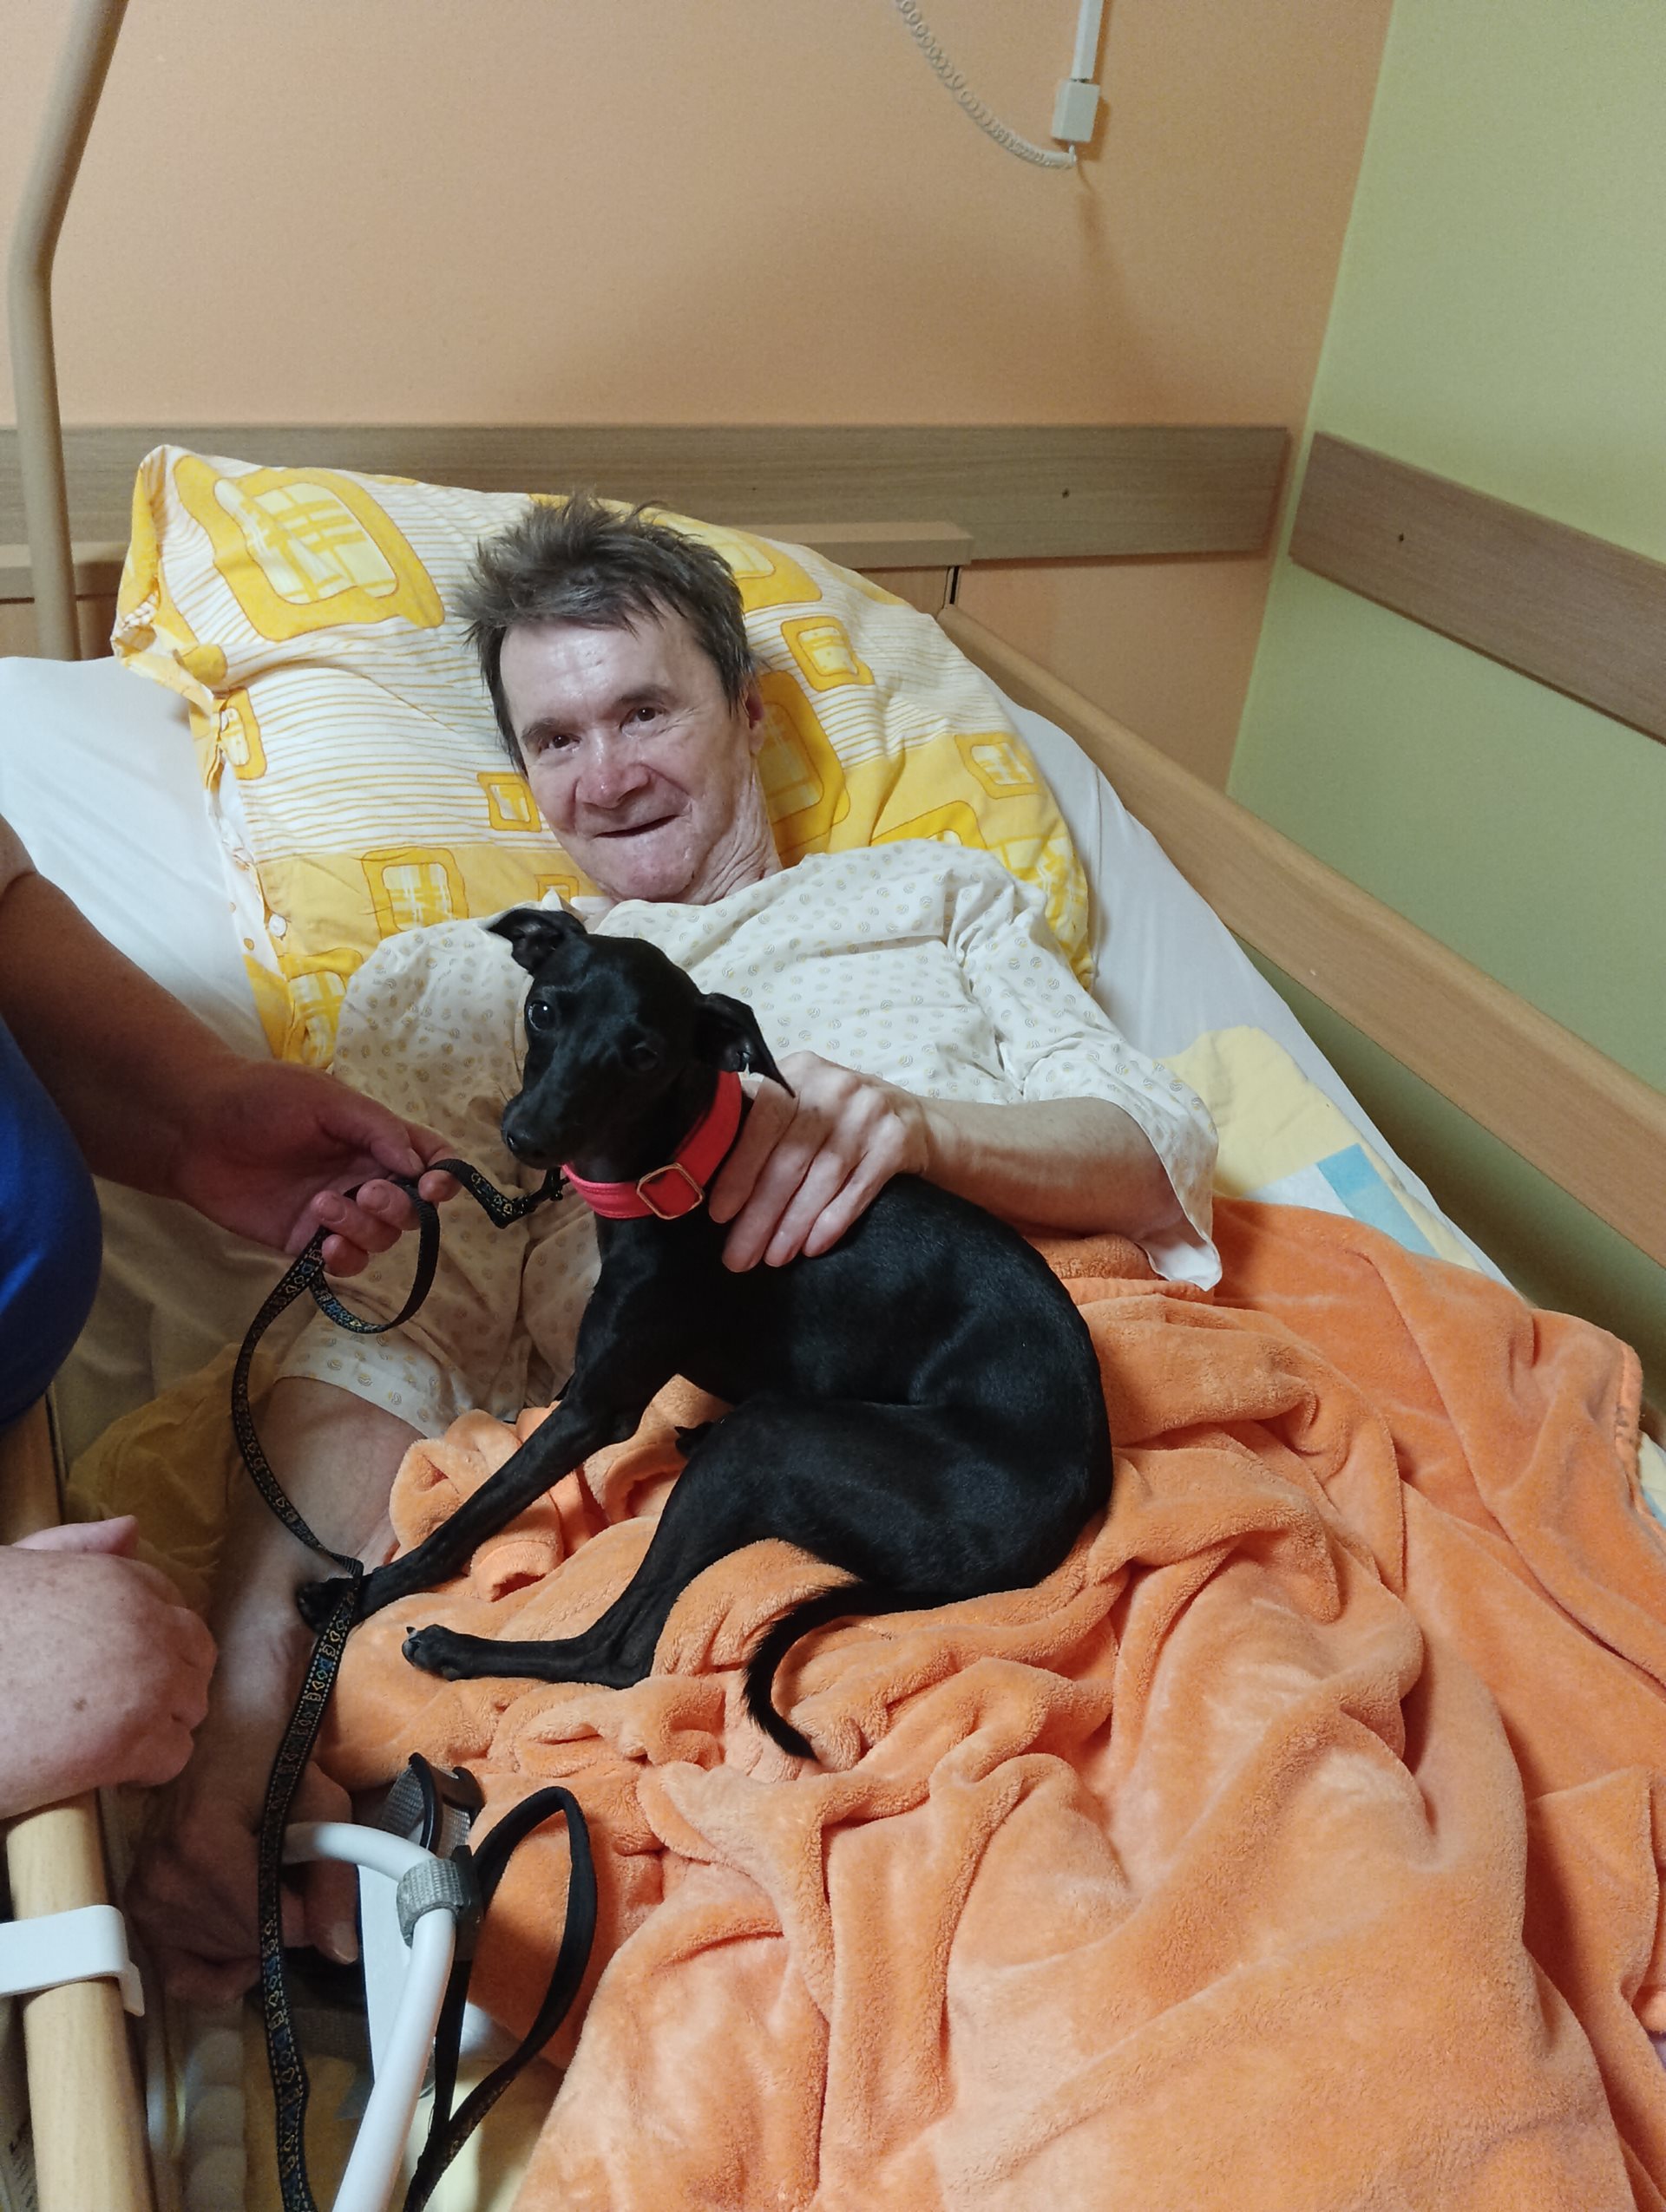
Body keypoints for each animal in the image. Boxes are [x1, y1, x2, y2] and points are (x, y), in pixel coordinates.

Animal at [313, 906, 1113, 1759]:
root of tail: (1051, 1533)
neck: (675, 1178)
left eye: (643, 1055)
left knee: (620, 1653)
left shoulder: (597, 1409)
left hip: (766, 1444)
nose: (527, 1137)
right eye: (543, 1010)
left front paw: (363, 1594)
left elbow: (474, 1513)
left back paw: (457, 1649)